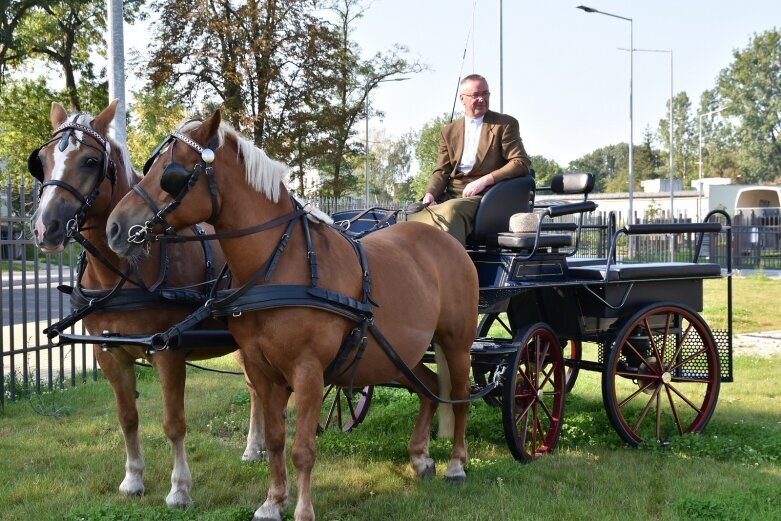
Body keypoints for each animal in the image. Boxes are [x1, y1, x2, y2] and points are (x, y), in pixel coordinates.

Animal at [28, 99, 266, 506]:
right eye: (41, 161)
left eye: (90, 161)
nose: (47, 229)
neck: (127, 271)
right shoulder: (108, 352)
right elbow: (128, 417)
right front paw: (133, 479)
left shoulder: (168, 352)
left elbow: (173, 423)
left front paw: (180, 488)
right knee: (255, 388)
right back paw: (254, 449)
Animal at [103, 110, 482, 520]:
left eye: (172, 175)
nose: (115, 227)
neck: (282, 264)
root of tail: (447, 241)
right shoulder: (261, 369)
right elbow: (274, 439)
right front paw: (272, 501)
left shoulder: (308, 371)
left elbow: (302, 449)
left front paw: (302, 510)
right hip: (398, 355)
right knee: (430, 387)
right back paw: (420, 457)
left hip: (455, 344)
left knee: (459, 394)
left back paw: (456, 465)